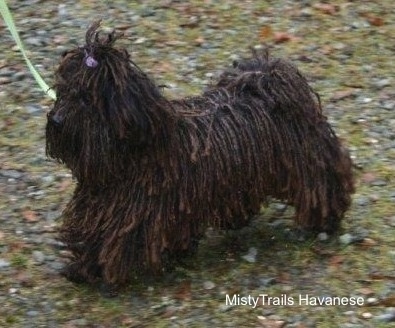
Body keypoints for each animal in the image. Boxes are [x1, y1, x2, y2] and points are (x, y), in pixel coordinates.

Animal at [46, 21, 356, 290]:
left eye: (87, 98)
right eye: (63, 92)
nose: (57, 120)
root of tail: (268, 79)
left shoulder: (135, 216)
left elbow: (114, 242)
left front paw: (95, 268)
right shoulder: (102, 208)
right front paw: (82, 265)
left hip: (309, 161)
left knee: (324, 184)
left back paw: (323, 221)